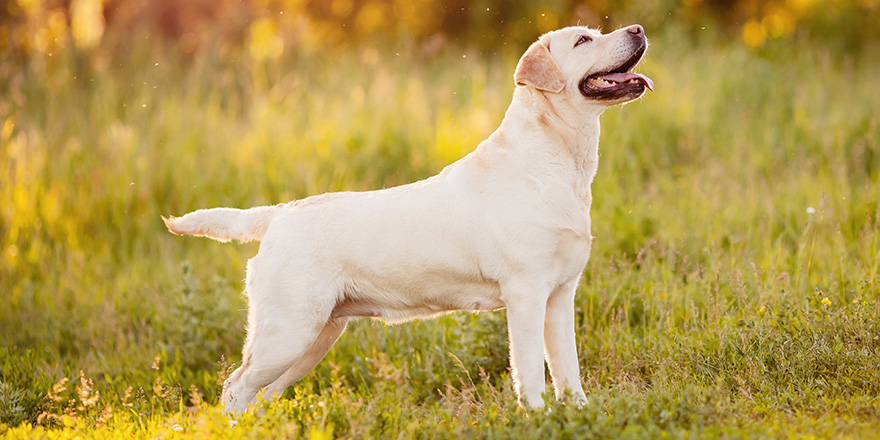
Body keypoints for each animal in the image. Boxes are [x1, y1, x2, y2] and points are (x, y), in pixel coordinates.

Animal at [165, 24, 648, 414]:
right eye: (583, 41)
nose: (638, 29)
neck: (556, 161)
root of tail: (277, 215)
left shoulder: (560, 296)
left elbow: (568, 370)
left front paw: (580, 414)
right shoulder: (526, 294)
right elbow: (530, 373)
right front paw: (538, 419)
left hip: (315, 337)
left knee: (260, 394)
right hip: (287, 332)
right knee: (235, 388)